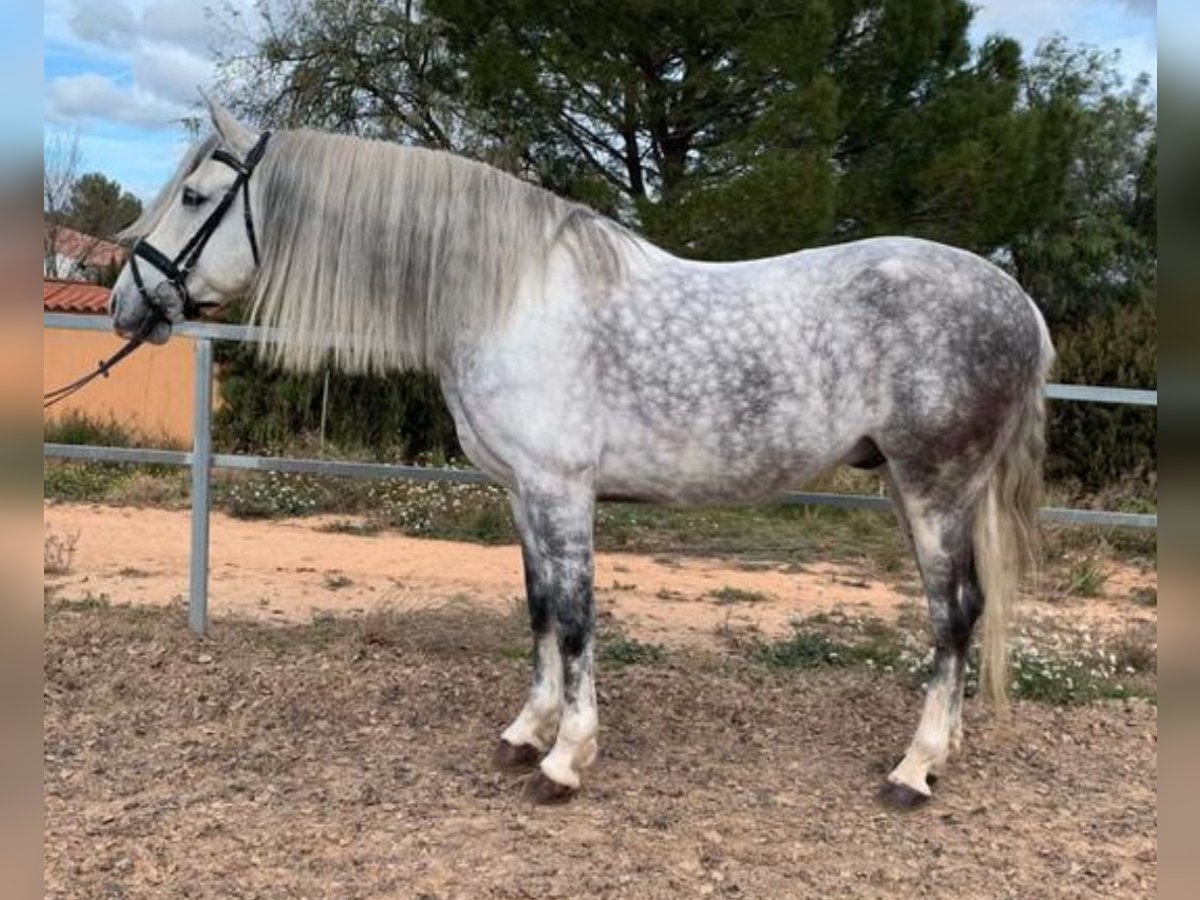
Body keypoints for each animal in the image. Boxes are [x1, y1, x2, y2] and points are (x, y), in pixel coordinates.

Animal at [110, 100, 1051, 811]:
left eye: (195, 195)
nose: (126, 303)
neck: (505, 297)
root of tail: (1019, 303)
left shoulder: (563, 492)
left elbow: (575, 619)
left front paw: (567, 760)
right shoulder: (523, 493)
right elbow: (537, 613)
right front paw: (526, 733)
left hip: (934, 488)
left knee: (952, 614)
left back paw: (914, 770)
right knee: (965, 614)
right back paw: (943, 751)